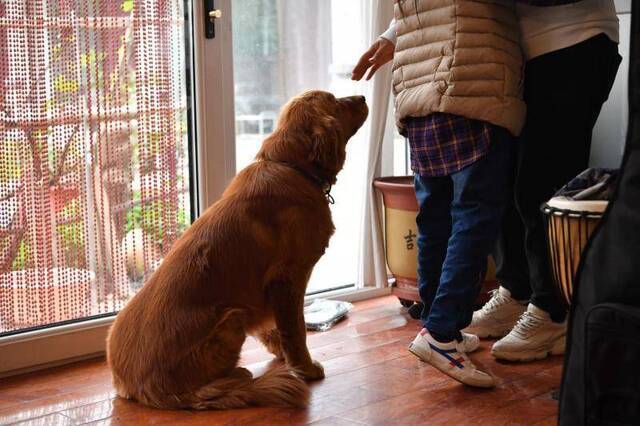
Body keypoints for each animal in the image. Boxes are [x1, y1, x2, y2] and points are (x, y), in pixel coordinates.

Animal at [107, 90, 368, 410]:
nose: (363, 96)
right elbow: (295, 331)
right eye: (335, 101)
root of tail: (145, 389)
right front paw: (304, 368)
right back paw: (238, 377)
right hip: (232, 317)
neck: (291, 166)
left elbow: (274, 328)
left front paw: (281, 352)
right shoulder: (288, 278)